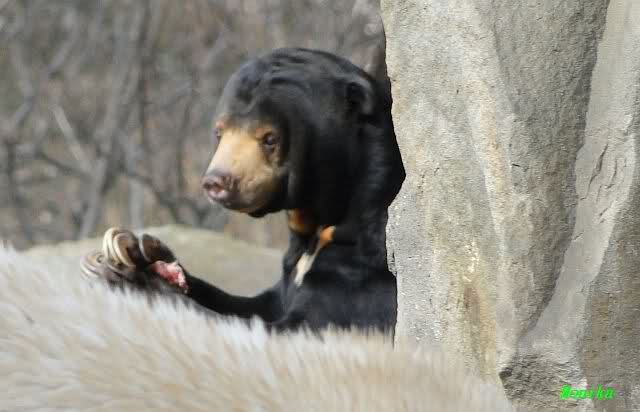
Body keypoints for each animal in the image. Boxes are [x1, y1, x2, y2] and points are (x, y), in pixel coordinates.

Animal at [82, 48, 406, 333]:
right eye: (219, 132)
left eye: (270, 138)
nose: (215, 182)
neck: (320, 226)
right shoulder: (289, 274)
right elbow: (254, 304)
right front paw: (142, 254)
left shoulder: (360, 279)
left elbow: (291, 325)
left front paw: (133, 280)